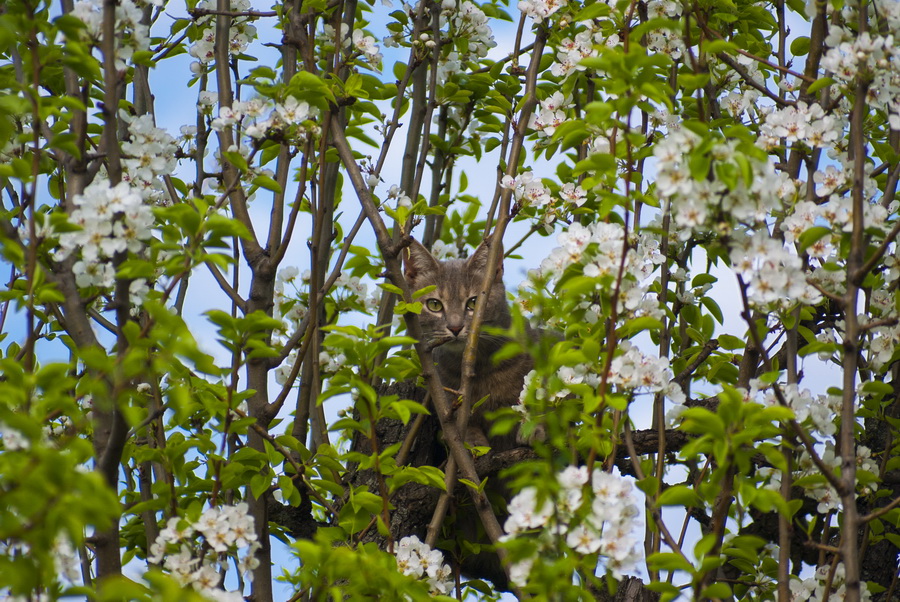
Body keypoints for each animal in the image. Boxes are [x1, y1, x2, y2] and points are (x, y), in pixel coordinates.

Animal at [402, 234, 536, 450]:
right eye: (434, 305)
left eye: (474, 302)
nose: (455, 327)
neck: (480, 366)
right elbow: (463, 424)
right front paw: (473, 443)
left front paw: (534, 429)